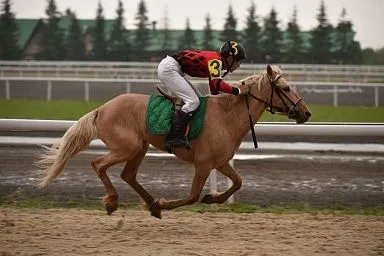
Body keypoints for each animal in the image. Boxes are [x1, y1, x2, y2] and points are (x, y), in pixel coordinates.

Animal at [36, 64, 312, 218]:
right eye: (285, 88)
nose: (306, 113)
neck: (227, 116)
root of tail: (101, 109)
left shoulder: (220, 162)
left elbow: (238, 183)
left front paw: (213, 199)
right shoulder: (203, 164)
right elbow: (191, 196)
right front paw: (167, 203)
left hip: (140, 147)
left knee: (128, 175)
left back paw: (150, 204)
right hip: (128, 147)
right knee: (98, 164)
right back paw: (115, 201)